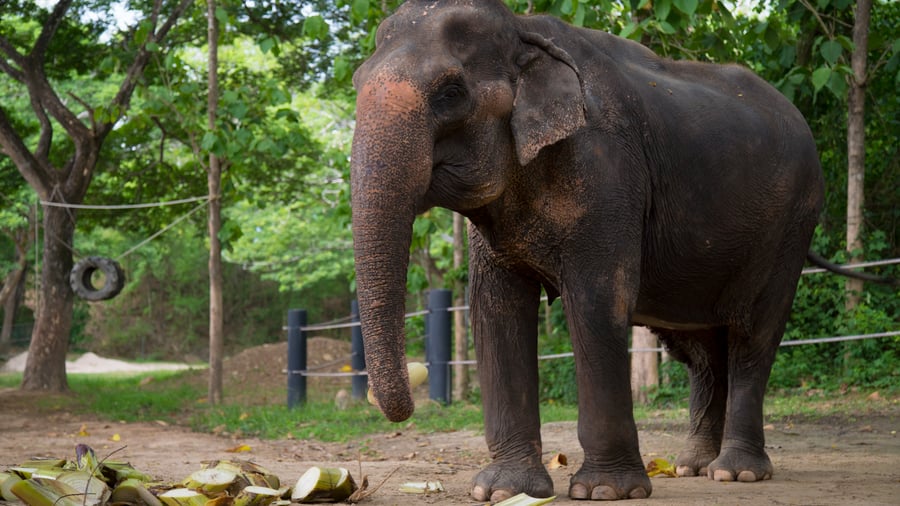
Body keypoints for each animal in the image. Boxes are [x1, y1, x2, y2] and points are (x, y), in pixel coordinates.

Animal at [349, 0, 843, 501]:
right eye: (355, 83)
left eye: (451, 92)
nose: (406, 404)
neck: (523, 29)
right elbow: (495, 310)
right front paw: (505, 491)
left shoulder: (607, 168)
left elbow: (596, 302)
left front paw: (606, 491)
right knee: (702, 352)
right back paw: (693, 466)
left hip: (789, 227)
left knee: (752, 335)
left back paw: (735, 473)